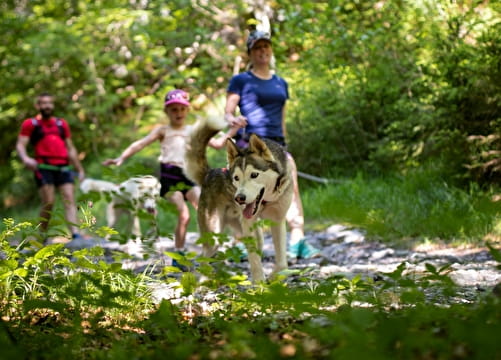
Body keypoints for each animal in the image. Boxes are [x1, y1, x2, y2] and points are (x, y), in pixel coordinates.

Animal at [185, 118, 292, 282]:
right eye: (236, 178)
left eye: (254, 175)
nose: (239, 198)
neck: (267, 201)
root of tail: (209, 173)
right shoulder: (248, 224)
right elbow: (254, 260)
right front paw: (259, 283)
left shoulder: (277, 220)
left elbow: (282, 264)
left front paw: (274, 278)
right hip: (214, 234)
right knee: (201, 259)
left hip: (254, 235)